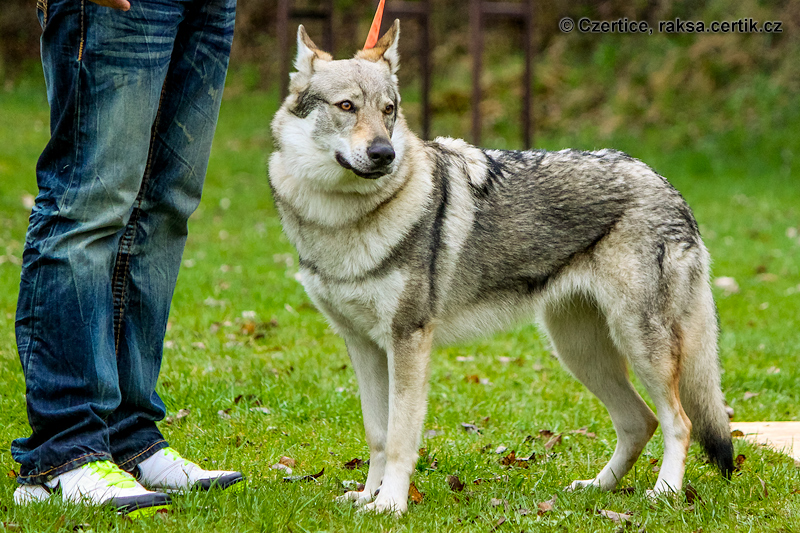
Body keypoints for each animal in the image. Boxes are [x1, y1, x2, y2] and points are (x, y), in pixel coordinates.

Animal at [270, 21, 736, 516]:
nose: (383, 154)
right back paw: (595, 488)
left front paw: (391, 505)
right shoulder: (362, 346)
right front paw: (365, 497)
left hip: (638, 344)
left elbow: (399, 438)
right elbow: (377, 435)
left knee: (679, 421)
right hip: (578, 350)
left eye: (388, 110)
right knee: (639, 422)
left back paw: (665, 492)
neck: (342, 220)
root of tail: (668, 186)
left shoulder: (408, 340)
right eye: (347, 106)